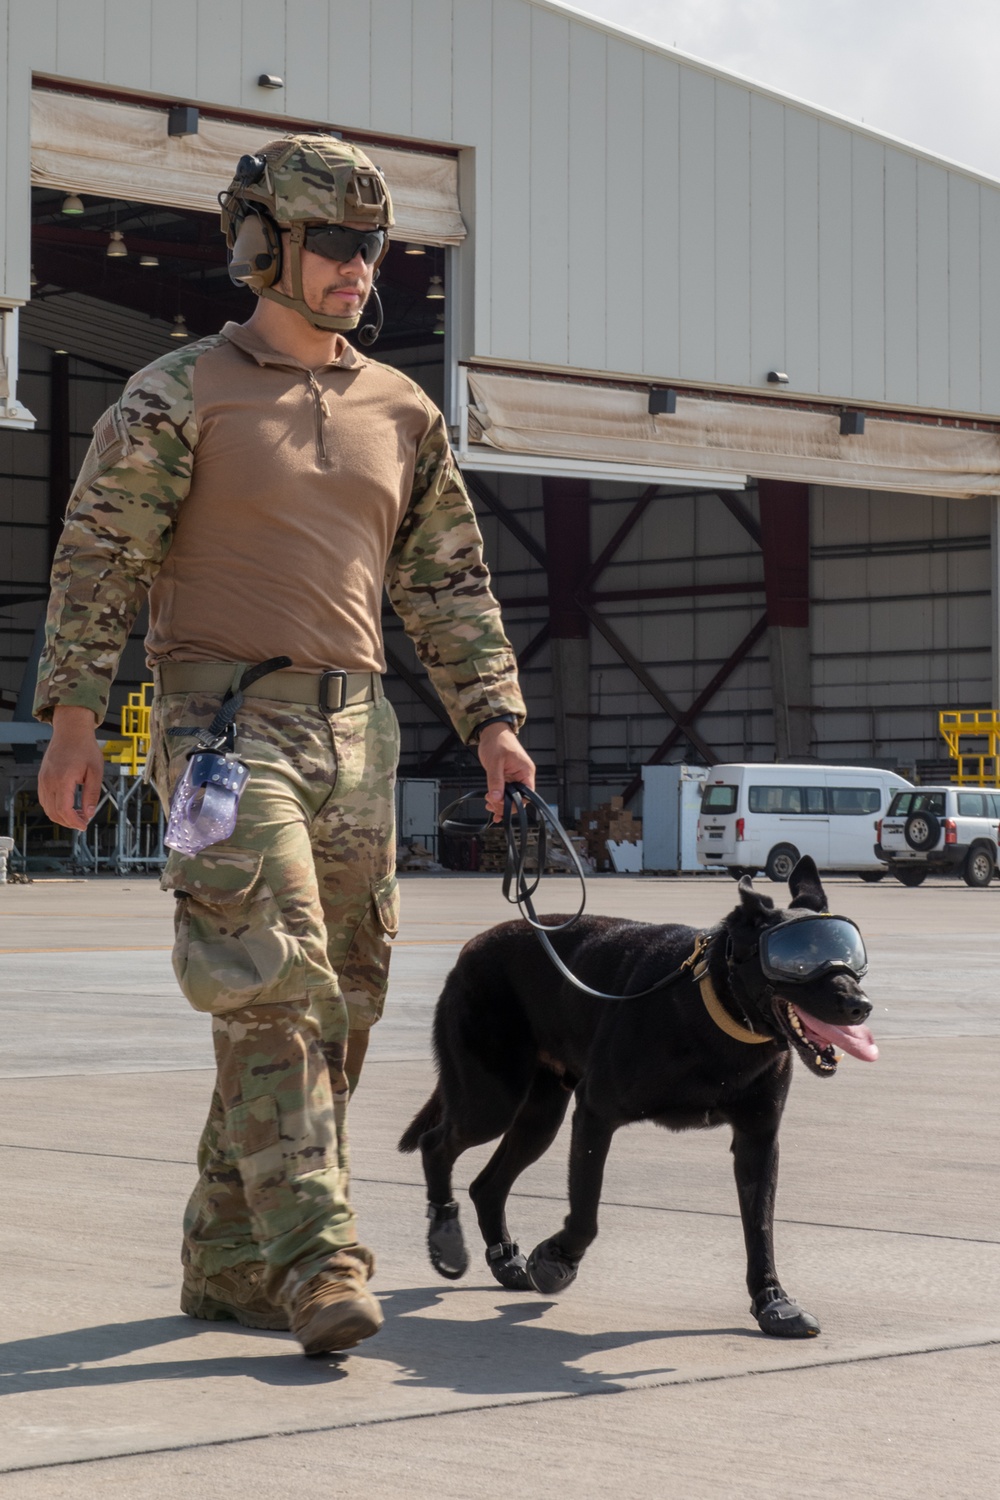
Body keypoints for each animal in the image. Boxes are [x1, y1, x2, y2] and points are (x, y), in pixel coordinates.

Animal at [401, 864, 881, 1344]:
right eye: (799, 960)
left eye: (847, 953)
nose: (860, 1005)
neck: (717, 1009)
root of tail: (471, 947)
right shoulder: (594, 1114)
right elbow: (586, 1212)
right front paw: (556, 1259)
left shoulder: (758, 1139)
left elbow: (760, 1227)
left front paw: (772, 1301)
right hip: (491, 1103)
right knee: (436, 1145)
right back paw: (446, 1239)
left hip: (540, 1119)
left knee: (487, 1185)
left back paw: (503, 1259)